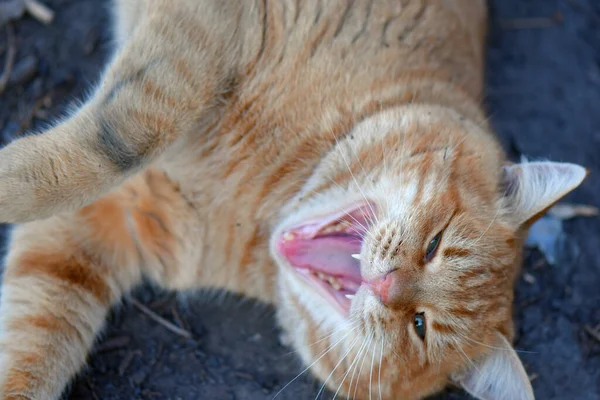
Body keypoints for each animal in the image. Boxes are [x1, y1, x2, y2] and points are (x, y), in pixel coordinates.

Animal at [0, 0, 584, 400]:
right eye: (434, 244)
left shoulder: (97, 231)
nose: (387, 286)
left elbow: (34, 341)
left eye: (419, 327)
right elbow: (124, 137)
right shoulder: (203, 34)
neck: (258, 210)